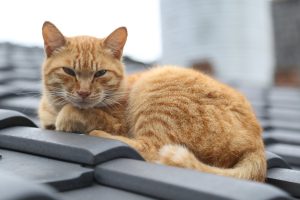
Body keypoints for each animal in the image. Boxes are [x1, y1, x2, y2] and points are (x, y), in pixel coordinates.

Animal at [38, 21, 266, 182]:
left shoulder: (115, 123)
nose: (84, 92)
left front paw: (69, 117)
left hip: (156, 91)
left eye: (100, 73)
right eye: (68, 71)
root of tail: (257, 144)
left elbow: (77, 112)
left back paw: (97, 134)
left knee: (150, 148)